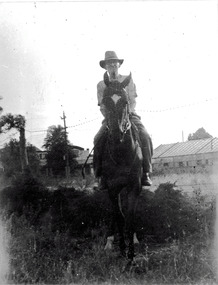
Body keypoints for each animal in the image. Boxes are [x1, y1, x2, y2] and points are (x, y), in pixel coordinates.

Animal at [93, 71, 143, 260]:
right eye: (105, 101)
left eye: (125, 102)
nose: (115, 134)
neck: (121, 154)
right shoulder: (112, 189)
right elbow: (119, 217)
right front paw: (121, 249)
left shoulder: (134, 187)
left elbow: (130, 218)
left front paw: (131, 253)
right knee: (115, 215)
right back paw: (109, 240)